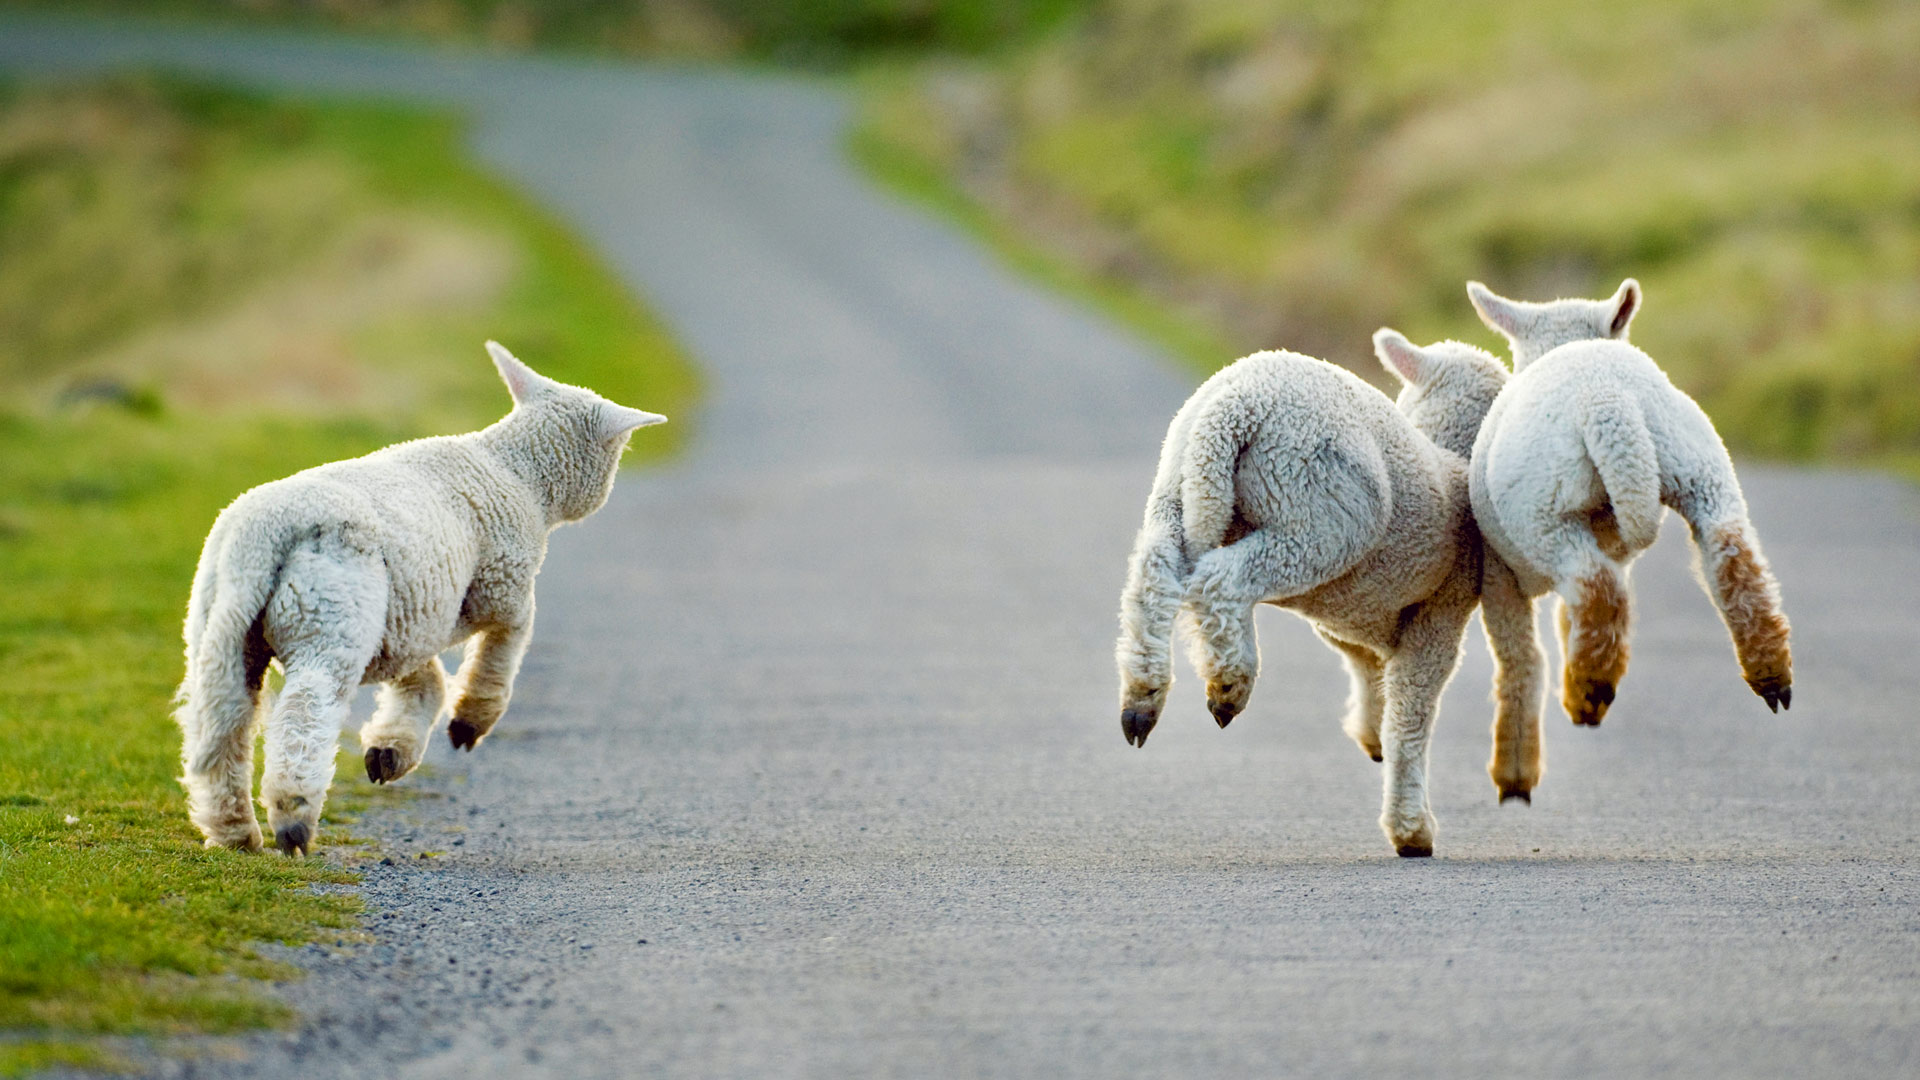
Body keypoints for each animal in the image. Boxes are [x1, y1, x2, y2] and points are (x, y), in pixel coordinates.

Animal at [174, 340, 668, 853]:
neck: (518, 474)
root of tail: (263, 535)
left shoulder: (410, 617)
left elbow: (424, 681)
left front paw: (390, 751)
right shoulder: (500, 586)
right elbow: (506, 643)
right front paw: (471, 720)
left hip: (222, 629)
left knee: (223, 723)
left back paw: (233, 831)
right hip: (331, 617)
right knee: (305, 711)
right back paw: (293, 819)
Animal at [1113, 332, 1512, 853]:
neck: (1451, 456)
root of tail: (1233, 406)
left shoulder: (1351, 616)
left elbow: (1369, 669)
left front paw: (1371, 734)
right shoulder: (1440, 609)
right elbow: (1411, 714)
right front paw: (1411, 828)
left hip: (1176, 490)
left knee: (1154, 574)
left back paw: (1142, 698)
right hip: (1312, 513)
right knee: (1223, 578)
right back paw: (1229, 684)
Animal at [1459, 276, 1789, 795]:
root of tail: (1606, 399)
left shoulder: (1505, 567)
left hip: (1546, 510)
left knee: (1596, 585)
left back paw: (1588, 691)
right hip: (1698, 463)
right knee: (1731, 553)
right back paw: (1770, 672)